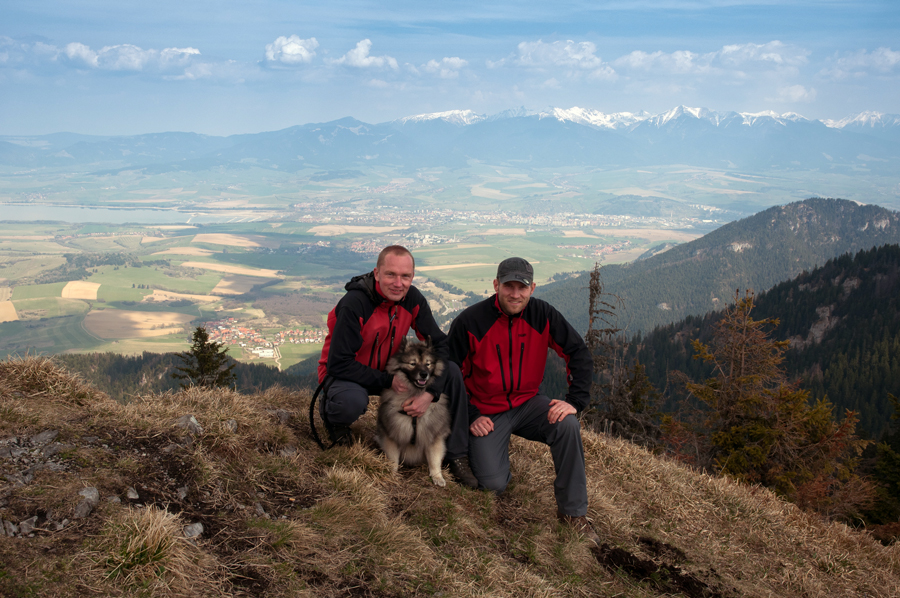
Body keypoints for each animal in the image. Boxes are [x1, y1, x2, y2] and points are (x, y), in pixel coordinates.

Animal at [376, 338, 454, 488]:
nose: (424, 374)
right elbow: (393, 458)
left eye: (428, 364)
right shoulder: (392, 434)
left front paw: (437, 476)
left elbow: (435, 459)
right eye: (413, 364)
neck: (415, 393)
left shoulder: (434, 436)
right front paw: (392, 473)